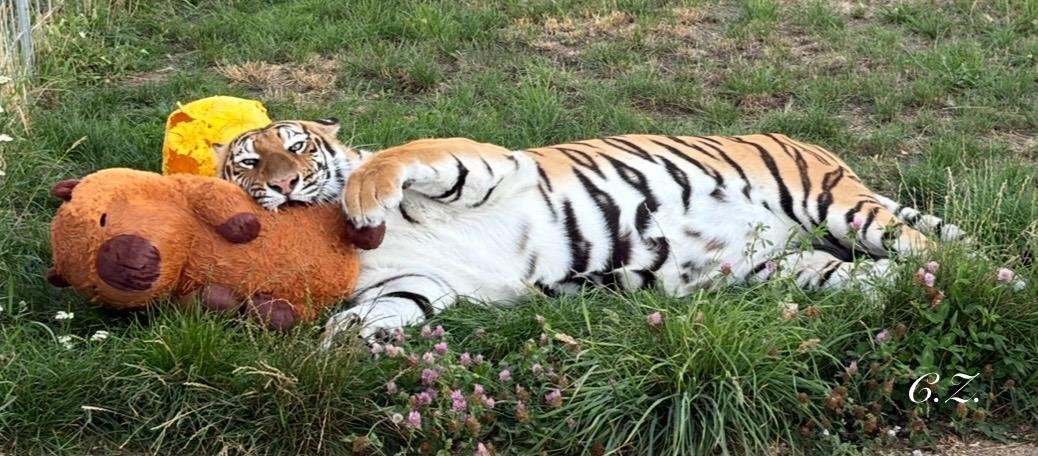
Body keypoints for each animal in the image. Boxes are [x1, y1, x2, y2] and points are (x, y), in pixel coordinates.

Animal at [217, 120, 1021, 348]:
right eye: (250, 162)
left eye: (297, 146)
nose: (282, 185)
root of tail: (816, 146)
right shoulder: (419, 284)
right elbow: (377, 316)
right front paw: (329, 353)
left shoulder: (486, 165)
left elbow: (402, 157)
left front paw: (364, 193)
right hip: (792, 268)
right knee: (878, 275)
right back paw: (919, 290)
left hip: (834, 204)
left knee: (930, 246)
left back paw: (992, 281)